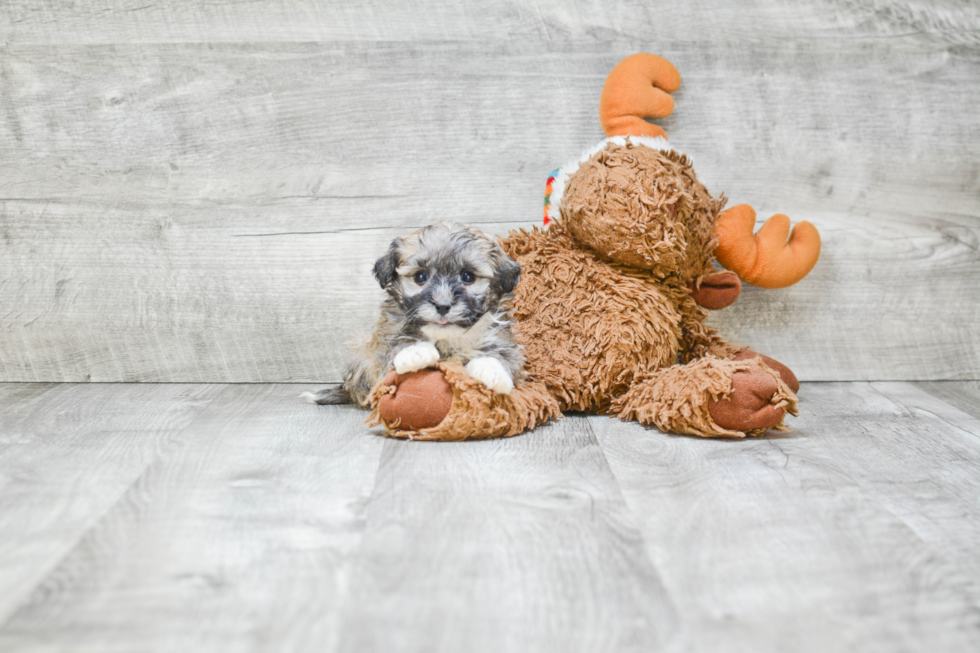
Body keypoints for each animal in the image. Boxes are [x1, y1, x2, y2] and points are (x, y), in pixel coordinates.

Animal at [302, 224, 524, 408]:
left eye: (468, 277)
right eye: (420, 276)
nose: (442, 305)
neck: (447, 338)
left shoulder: (501, 338)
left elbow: (500, 354)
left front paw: (493, 372)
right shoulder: (386, 338)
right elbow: (395, 345)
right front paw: (415, 351)